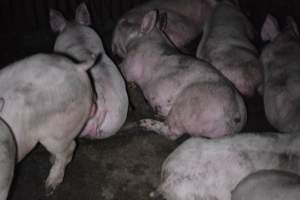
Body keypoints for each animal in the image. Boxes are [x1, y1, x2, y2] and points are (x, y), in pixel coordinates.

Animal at [119, 10, 246, 140]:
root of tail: (236, 117)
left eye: (130, 26)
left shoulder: (129, 64)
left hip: (188, 106)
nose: (122, 20)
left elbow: (122, 70)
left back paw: (145, 123)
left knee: (172, 133)